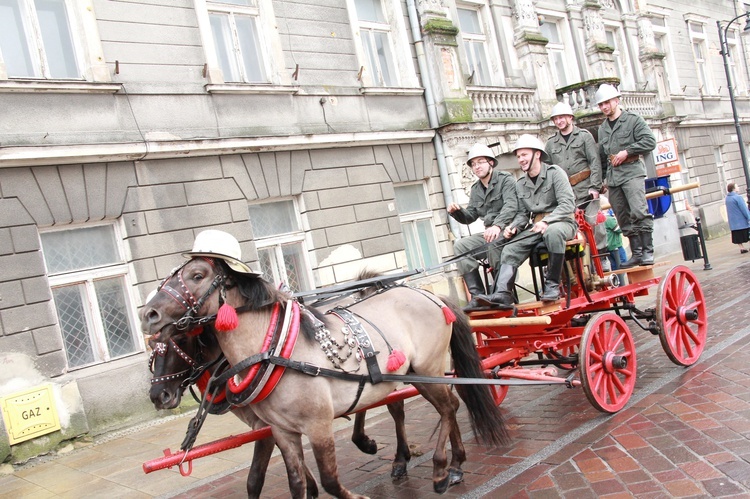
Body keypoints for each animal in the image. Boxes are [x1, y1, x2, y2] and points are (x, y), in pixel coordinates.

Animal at [141, 256, 512, 498]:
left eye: (197, 275)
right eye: (151, 351)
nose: (148, 314)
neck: (272, 348)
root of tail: (429, 295)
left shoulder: (314, 426)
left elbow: (325, 479)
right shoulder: (281, 431)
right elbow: (295, 482)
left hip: (427, 368)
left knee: (449, 406)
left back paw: (440, 469)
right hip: (409, 373)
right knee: (437, 404)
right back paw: (451, 464)